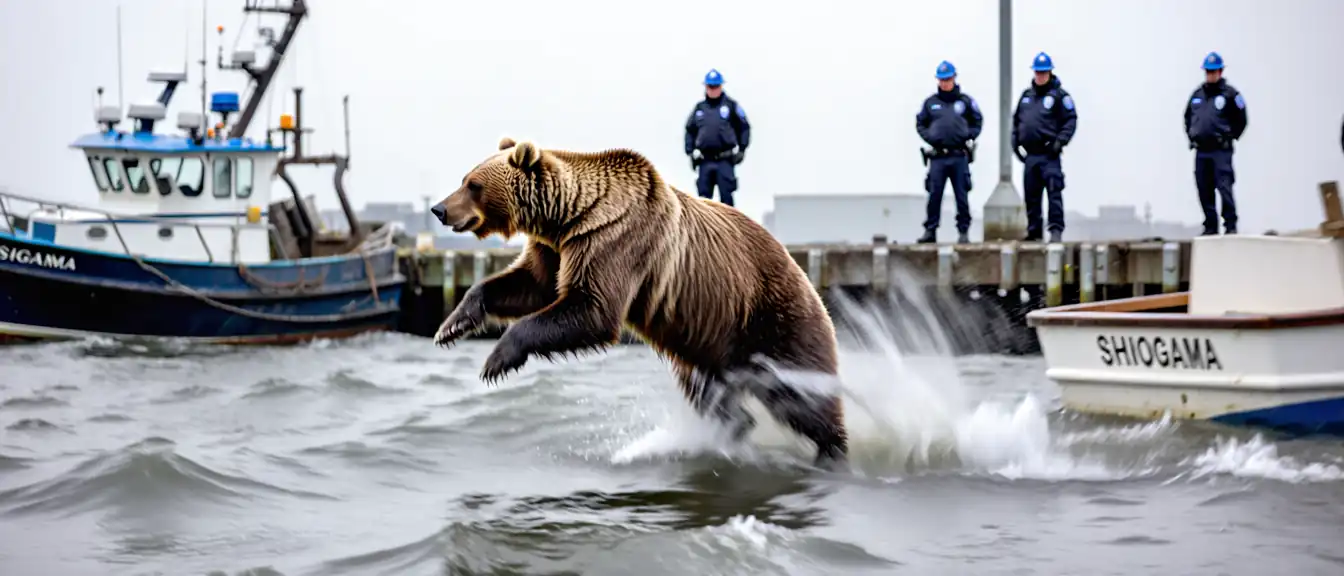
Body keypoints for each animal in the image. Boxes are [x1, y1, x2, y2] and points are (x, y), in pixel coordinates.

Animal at [430, 136, 848, 468]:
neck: (570, 216)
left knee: (803, 398)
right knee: (711, 394)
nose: (439, 209)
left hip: (775, 319)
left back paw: (833, 450)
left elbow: (592, 309)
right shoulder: (555, 250)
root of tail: (810, 279)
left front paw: (496, 360)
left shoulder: (615, 242)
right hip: (712, 346)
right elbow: (530, 285)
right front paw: (451, 325)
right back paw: (733, 428)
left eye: (473, 184)